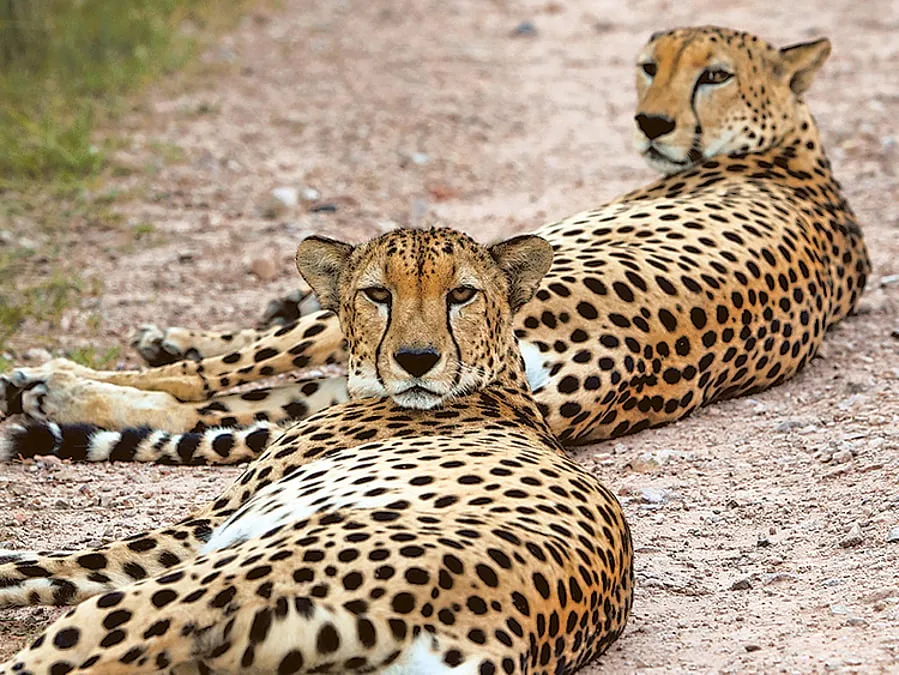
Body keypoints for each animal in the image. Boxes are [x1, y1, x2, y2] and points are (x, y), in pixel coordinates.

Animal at [0, 26, 870, 463]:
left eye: (713, 75)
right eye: (647, 66)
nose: (650, 122)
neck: (788, 139)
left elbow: (236, 342)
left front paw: (173, 337)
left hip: (380, 333)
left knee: (207, 385)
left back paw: (47, 381)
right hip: (370, 368)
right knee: (223, 402)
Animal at [0, 227, 633, 674]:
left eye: (462, 295)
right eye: (377, 294)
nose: (417, 359)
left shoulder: (199, 533)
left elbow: (56, 561)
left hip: (198, 585)